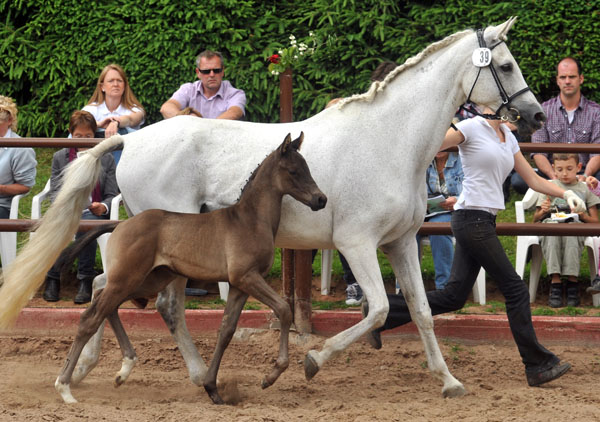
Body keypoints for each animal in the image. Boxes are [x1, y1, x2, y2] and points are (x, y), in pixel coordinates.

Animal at [55, 134, 328, 404]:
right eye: (294, 171)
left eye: (307, 168)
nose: (321, 199)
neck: (250, 220)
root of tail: (120, 225)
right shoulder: (247, 277)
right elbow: (283, 309)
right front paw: (270, 376)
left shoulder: (239, 285)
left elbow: (226, 330)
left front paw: (212, 388)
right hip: (129, 278)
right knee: (90, 317)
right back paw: (65, 387)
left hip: (146, 280)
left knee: (106, 304)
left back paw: (123, 369)